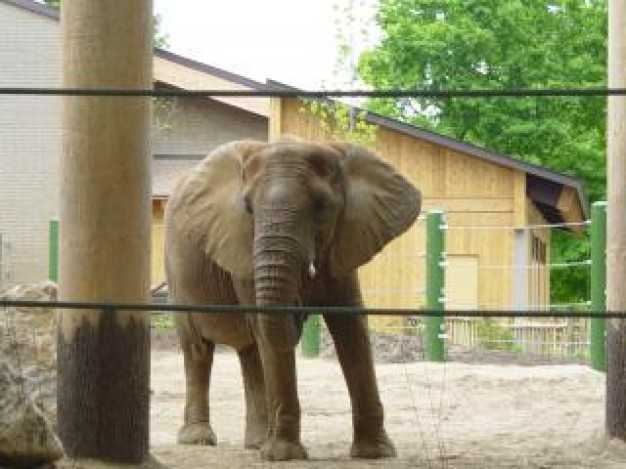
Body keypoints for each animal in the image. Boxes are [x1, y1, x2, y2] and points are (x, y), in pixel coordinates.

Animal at [163, 139, 422, 460]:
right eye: (248, 209)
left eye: (321, 208)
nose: (300, 305)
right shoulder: (243, 249)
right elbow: (271, 335)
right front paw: (284, 456)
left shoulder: (345, 243)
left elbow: (352, 328)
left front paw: (376, 453)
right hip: (176, 271)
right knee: (199, 348)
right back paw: (199, 439)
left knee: (251, 351)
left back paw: (257, 443)